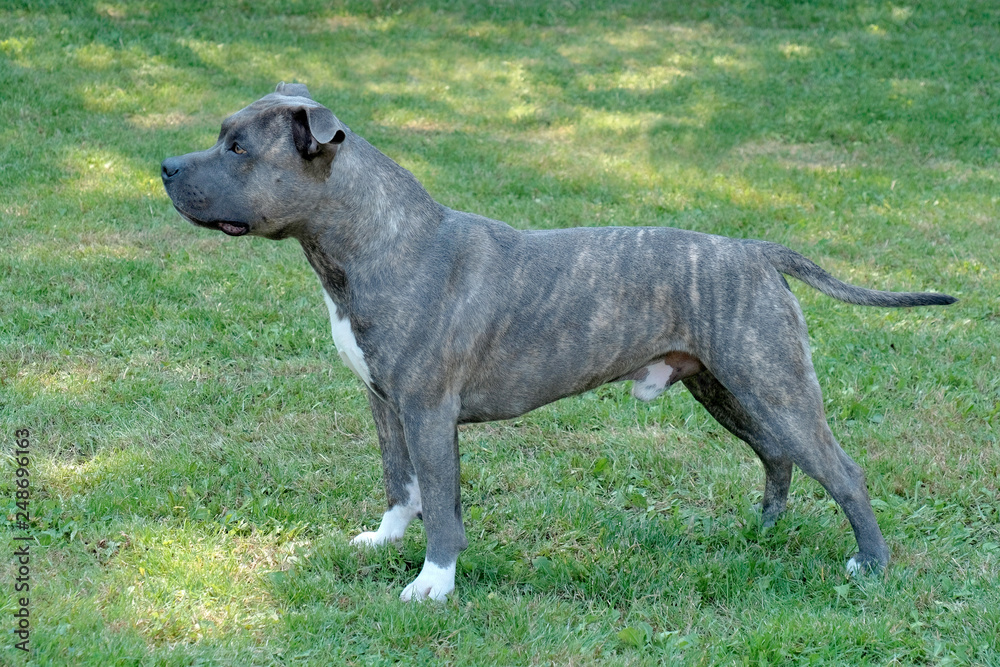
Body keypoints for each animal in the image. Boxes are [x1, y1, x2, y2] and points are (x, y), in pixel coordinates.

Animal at [162, 85, 952, 604]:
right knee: (777, 456)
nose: (165, 166)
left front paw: (433, 584)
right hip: (727, 388)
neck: (371, 240)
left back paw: (870, 566)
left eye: (237, 147)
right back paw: (759, 534)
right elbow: (400, 481)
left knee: (842, 470)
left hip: (775, 383)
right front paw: (385, 539)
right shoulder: (385, 403)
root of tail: (756, 251)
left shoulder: (428, 411)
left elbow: (441, 504)